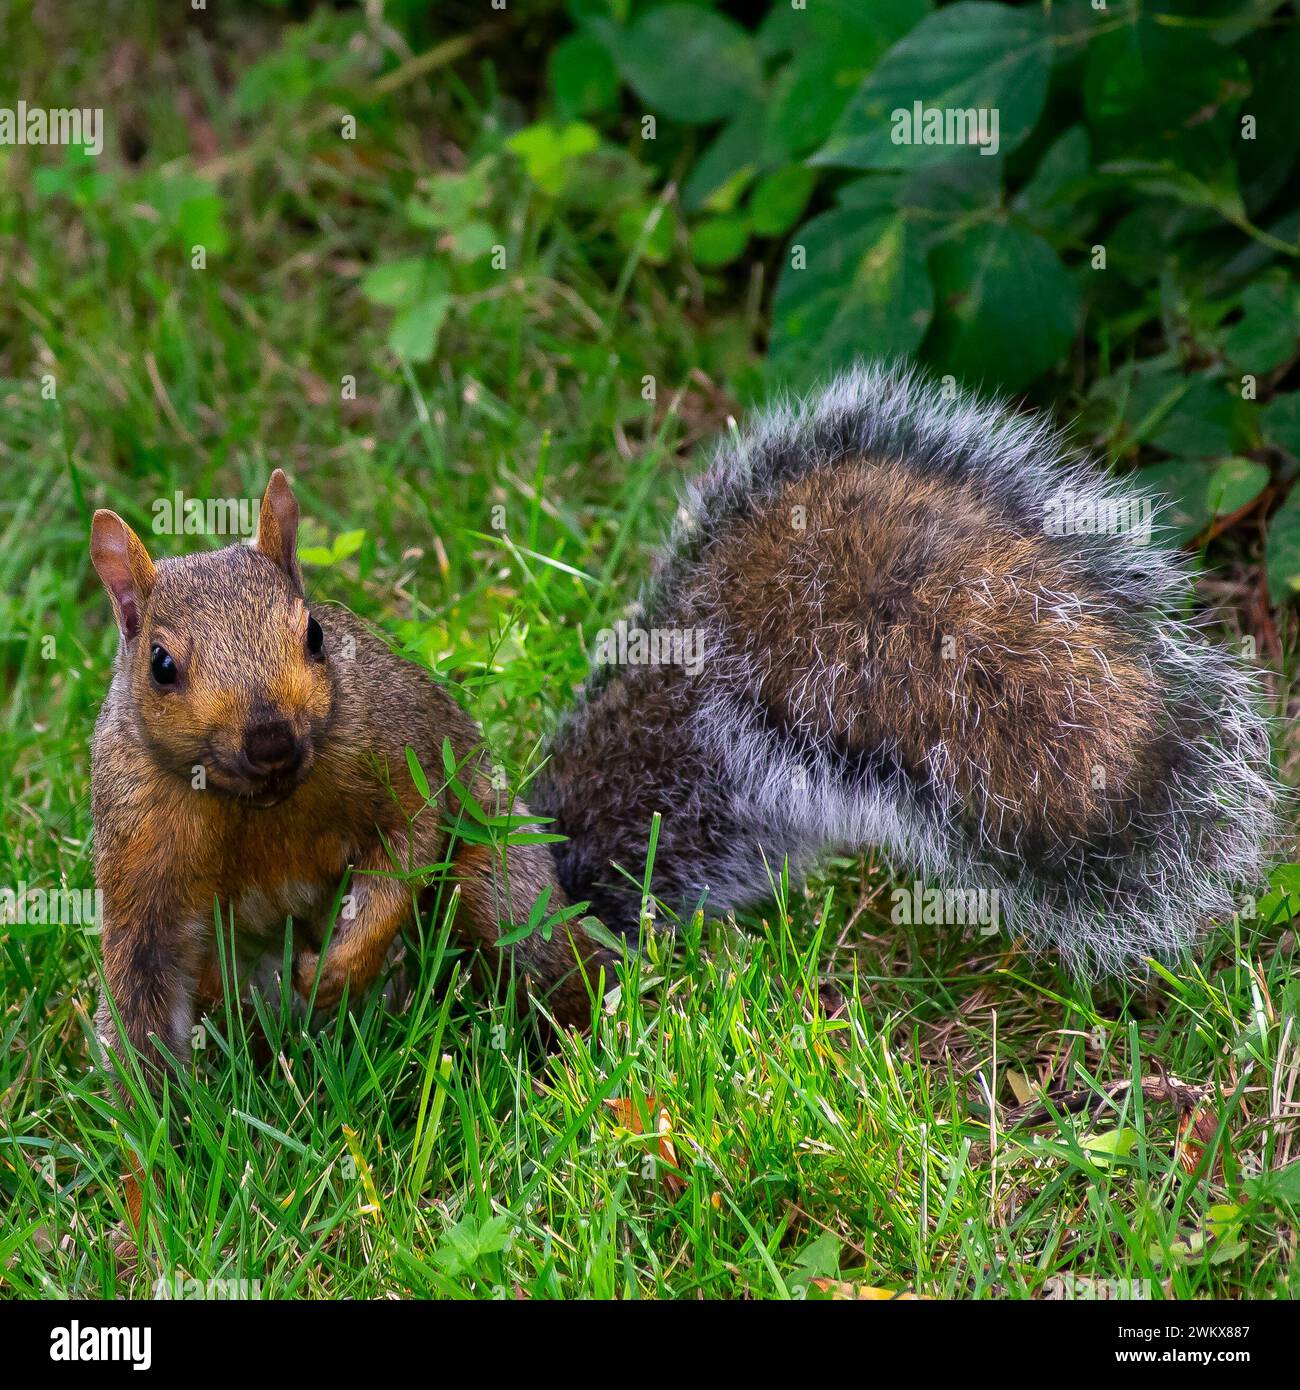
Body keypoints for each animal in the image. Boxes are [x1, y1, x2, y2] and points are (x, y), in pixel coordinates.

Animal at [90, 363, 1285, 1083]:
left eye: (315, 635)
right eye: (161, 665)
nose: (272, 738)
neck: (263, 804)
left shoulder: (395, 751)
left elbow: (408, 849)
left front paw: (339, 963)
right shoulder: (140, 846)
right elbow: (144, 960)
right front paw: (168, 1110)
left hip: (509, 902)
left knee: (527, 952)